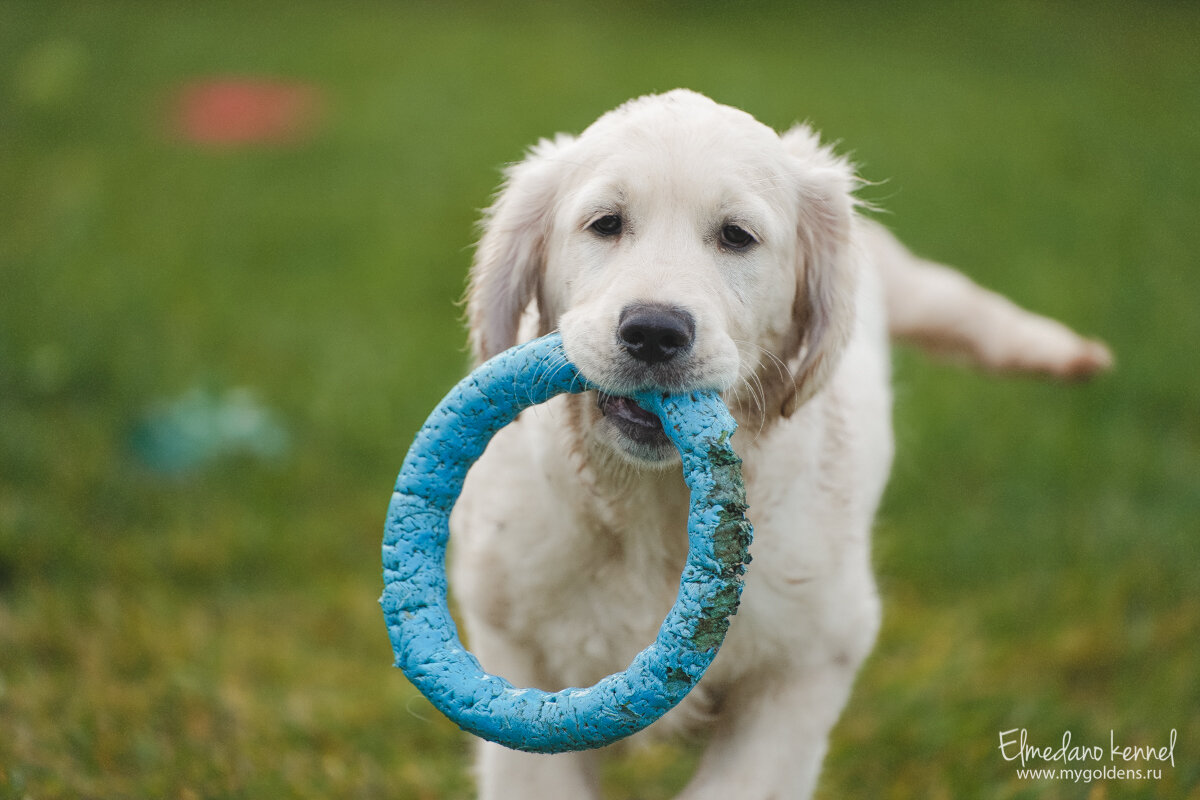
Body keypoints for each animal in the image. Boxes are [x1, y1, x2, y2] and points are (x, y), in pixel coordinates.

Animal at [448, 90, 1104, 796]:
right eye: (605, 223)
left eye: (737, 235)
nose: (654, 331)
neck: (654, 507)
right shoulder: (513, 637)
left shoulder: (811, 660)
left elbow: (741, 782)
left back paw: (1064, 352)